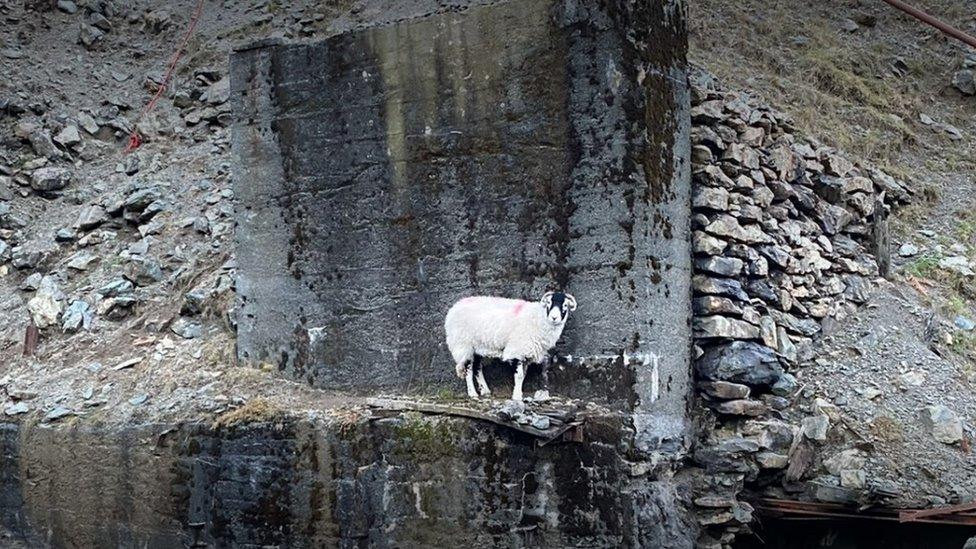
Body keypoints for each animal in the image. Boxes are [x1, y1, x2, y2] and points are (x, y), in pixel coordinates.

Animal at [444, 288, 576, 400]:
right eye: (548, 303)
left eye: (565, 305)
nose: (554, 318)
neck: (538, 319)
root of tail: (455, 307)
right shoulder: (518, 350)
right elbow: (519, 376)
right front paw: (517, 397)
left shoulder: (526, 353)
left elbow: (523, 375)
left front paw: (519, 394)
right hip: (463, 344)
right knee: (468, 369)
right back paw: (473, 394)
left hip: (477, 346)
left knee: (477, 368)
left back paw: (485, 391)